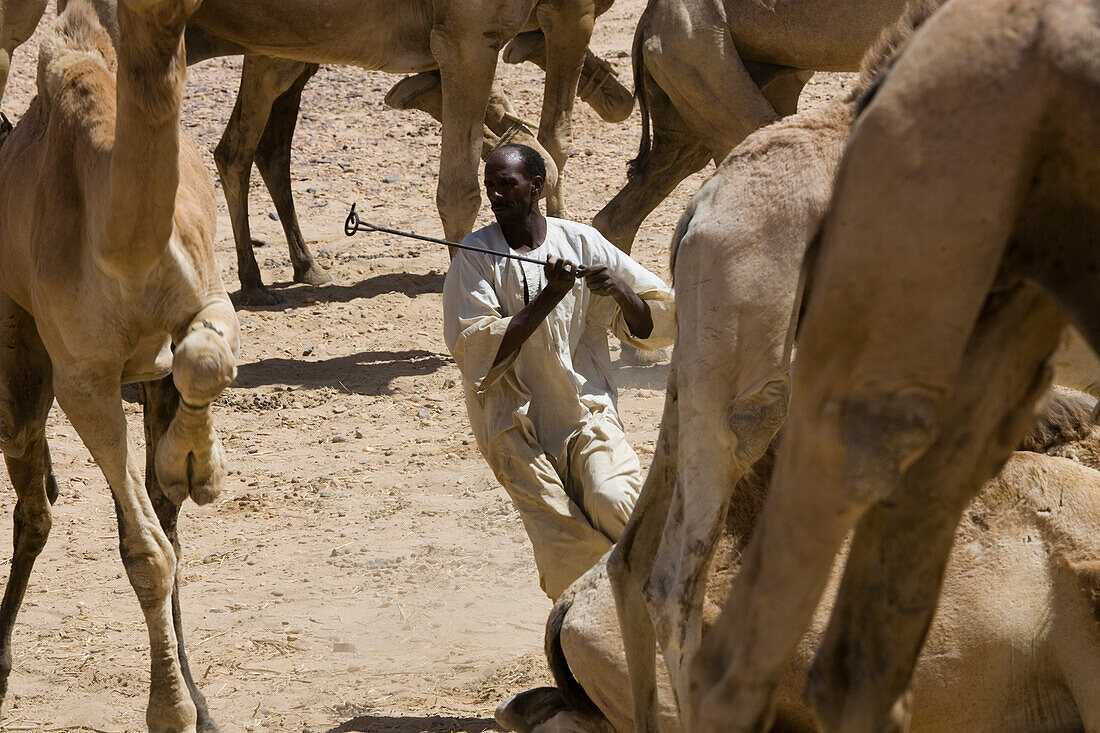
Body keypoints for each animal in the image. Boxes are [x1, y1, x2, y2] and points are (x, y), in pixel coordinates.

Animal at [0, 0, 239, 726]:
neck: (120, 246)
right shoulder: (83, 375)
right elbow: (145, 553)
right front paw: (169, 712)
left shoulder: (207, 294)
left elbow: (203, 360)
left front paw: (197, 465)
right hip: (17, 346)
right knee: (32, 489)